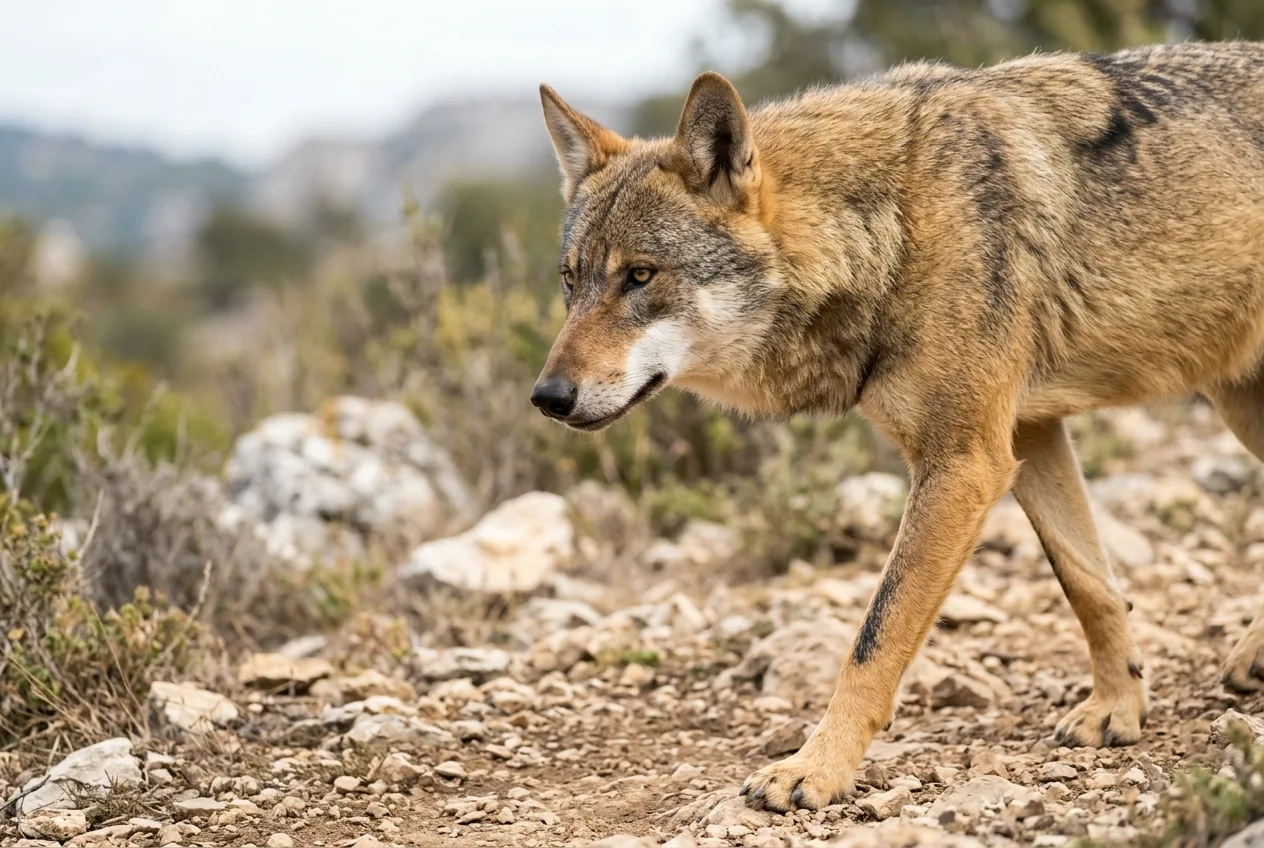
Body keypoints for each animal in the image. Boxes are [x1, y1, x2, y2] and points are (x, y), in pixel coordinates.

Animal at [529, 41, 1264, 812]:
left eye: (640, 276)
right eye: (571, 280)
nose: (546, 397)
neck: (891, 227)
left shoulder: (963, 464)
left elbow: (872, 640)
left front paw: (814, 769)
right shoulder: (1029, 438)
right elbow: (1090, 585)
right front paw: (1119, 708)